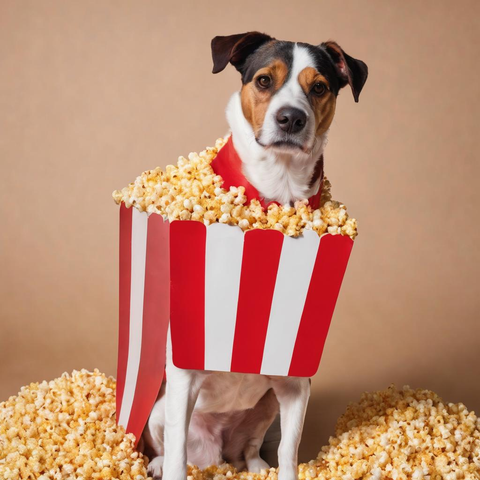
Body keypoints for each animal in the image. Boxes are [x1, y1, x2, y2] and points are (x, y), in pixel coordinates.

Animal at [142, 31, 368, 480]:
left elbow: (290, 453)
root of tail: (213, 456)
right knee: (171, 447)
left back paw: (254, 463)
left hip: (266, 411)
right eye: (264, 80)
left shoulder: (296, 385)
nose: (291, 119)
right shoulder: (182, 376)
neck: (278, 183)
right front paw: (168, 465)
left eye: (319, 87)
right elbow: (175, 454)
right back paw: (158, 463)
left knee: (251, 448)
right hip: (160, 411)